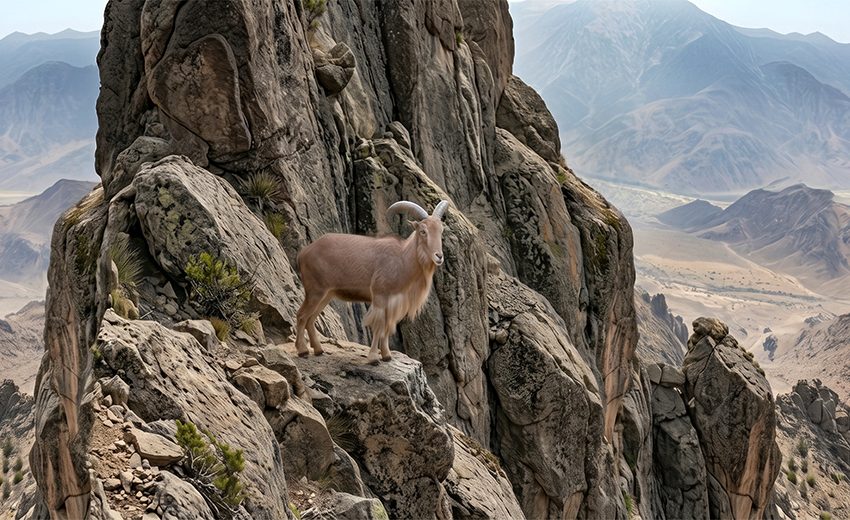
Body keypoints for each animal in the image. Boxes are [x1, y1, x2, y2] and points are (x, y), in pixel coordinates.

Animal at [294, 199, 449, 364]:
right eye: (423, 231)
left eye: (441, 231)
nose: (439, 256)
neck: (402, 259)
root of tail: (304, 252)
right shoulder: (380, 296)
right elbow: (379, 326)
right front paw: (374, 357)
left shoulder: (392, 303)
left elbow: (387, 327)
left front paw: (387, 355)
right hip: (315, 291)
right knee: (302, 315)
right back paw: (303, 350)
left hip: (327, 294)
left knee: (311, 318)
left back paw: (318, 350)